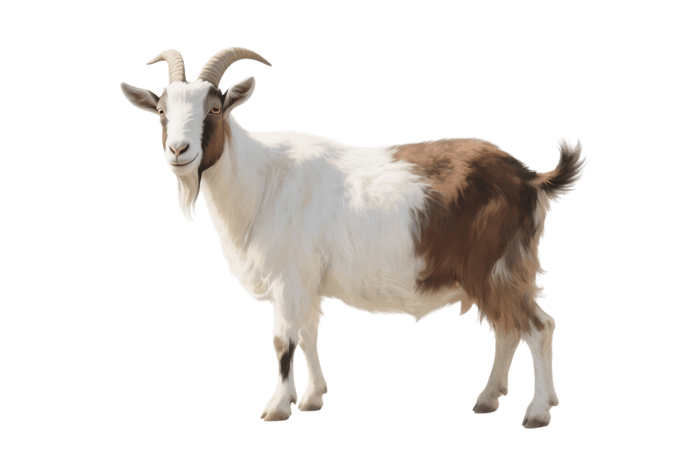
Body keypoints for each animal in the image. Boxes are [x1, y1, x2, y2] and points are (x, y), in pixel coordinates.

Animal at [120, 46, 587, 428]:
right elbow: (309, 334)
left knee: (538, 327)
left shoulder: (289, 278)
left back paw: (538, 412)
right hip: (489, 273)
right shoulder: (308, 283)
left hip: (498, 266)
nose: (179, 151)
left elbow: (283, 341)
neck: (262, 183)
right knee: (507, 330)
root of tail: (530, 178)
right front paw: (311, 398)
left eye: (215, 108)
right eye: (160, 112)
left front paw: (277, 408)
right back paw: (488, 400)